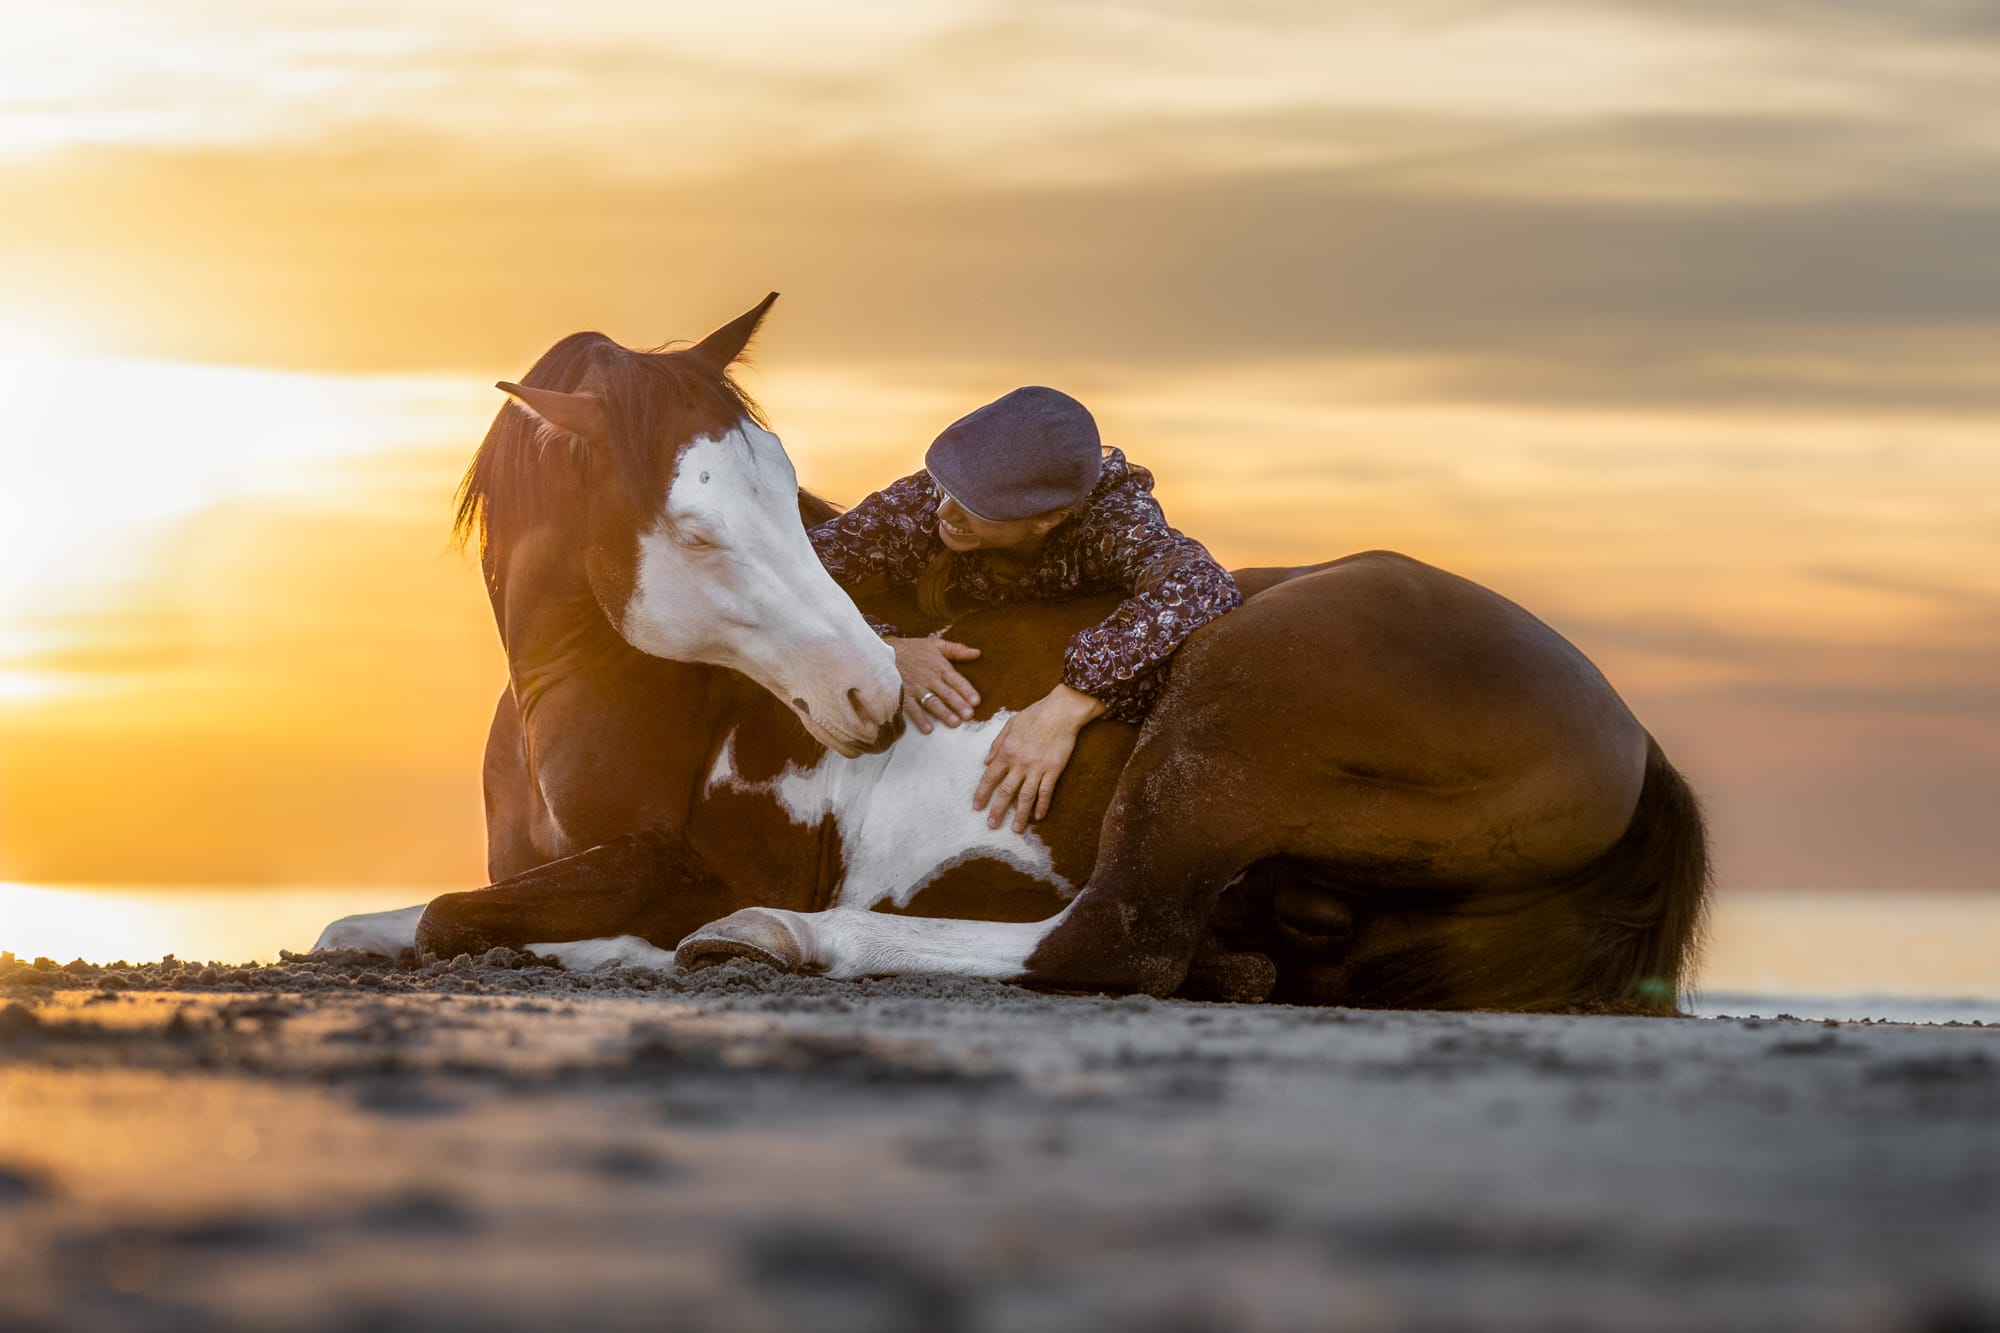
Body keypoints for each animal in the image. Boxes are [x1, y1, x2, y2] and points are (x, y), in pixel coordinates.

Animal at [312, 295, 1709, 1013]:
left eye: (781, 496)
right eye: (700, 526)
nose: (872, 695)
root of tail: (1630, 735)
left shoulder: (662, 863)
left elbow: (447, 916)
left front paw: (627, 943)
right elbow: (359, 922)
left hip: (1224, 730)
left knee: (1110, 940)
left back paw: (771, 937)